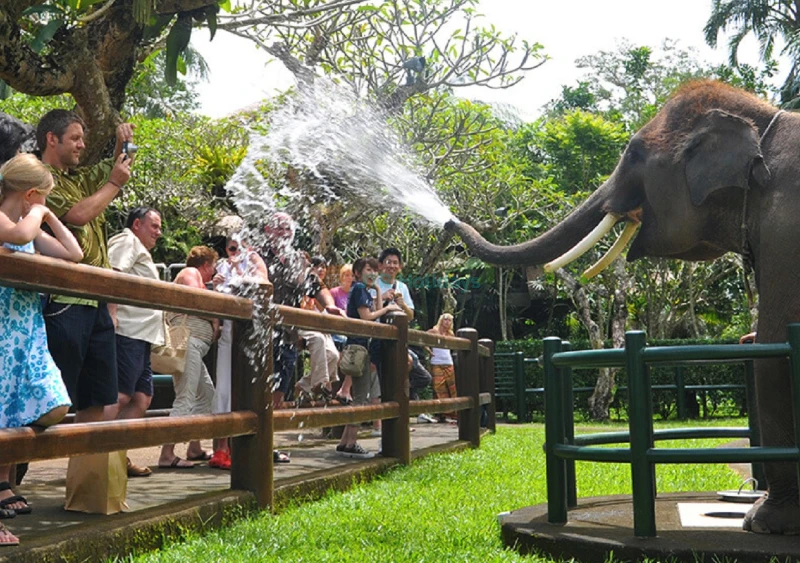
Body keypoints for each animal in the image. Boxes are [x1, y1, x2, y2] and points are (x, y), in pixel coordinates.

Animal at [445, 80, 800, 535]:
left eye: (632, 155)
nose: (448, 221)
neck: (764, 120)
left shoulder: (784, 231)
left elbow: (771, 350)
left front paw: (761, 523)